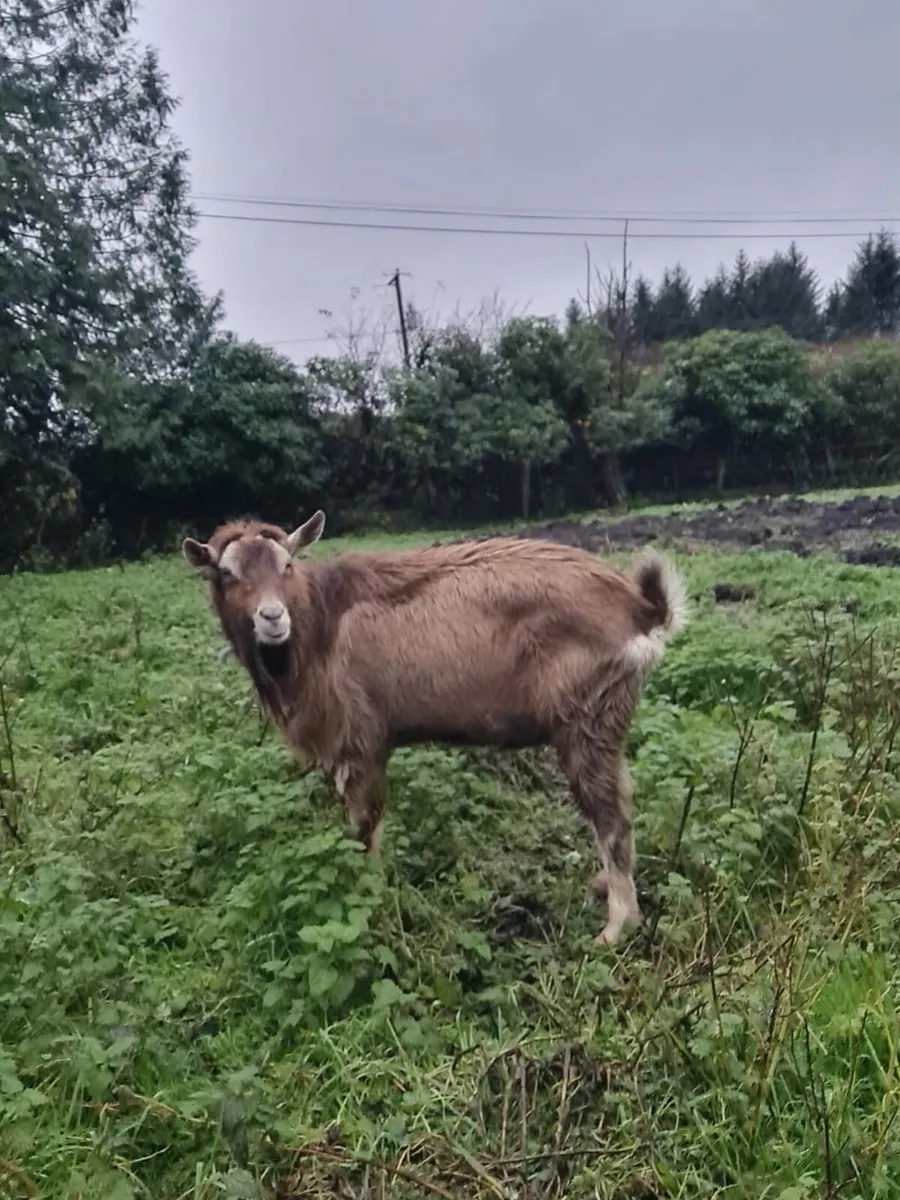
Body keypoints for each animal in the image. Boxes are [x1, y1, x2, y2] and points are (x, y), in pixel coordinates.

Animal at [182, 512, 687, 945]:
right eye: (226, 573)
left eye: (287, 564)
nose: (272, 618)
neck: (318, 626)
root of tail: (641, 608)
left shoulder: (360, 741)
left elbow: (363, 828)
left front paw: (368, 899)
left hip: (587, 717)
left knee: (611, 816)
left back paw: (617, 926)